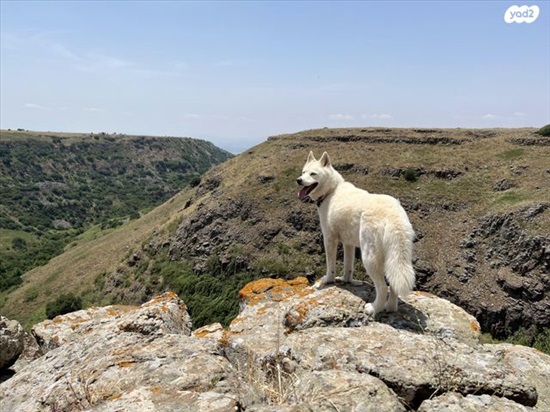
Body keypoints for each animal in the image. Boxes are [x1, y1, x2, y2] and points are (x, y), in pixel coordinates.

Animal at [300, 151, 416, 316]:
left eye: (313, 174)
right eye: (303, 172)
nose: (298, 180)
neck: (331, 191)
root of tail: (393, 214)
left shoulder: (329, 239)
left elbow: (330, 265)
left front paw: (328, 280)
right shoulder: (348, 243)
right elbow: (348, 266)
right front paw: (346, 280)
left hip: (369, 257)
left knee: (382, 287)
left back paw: (374, 308)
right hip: (393, 257)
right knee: (393, 285)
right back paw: (390, 307)